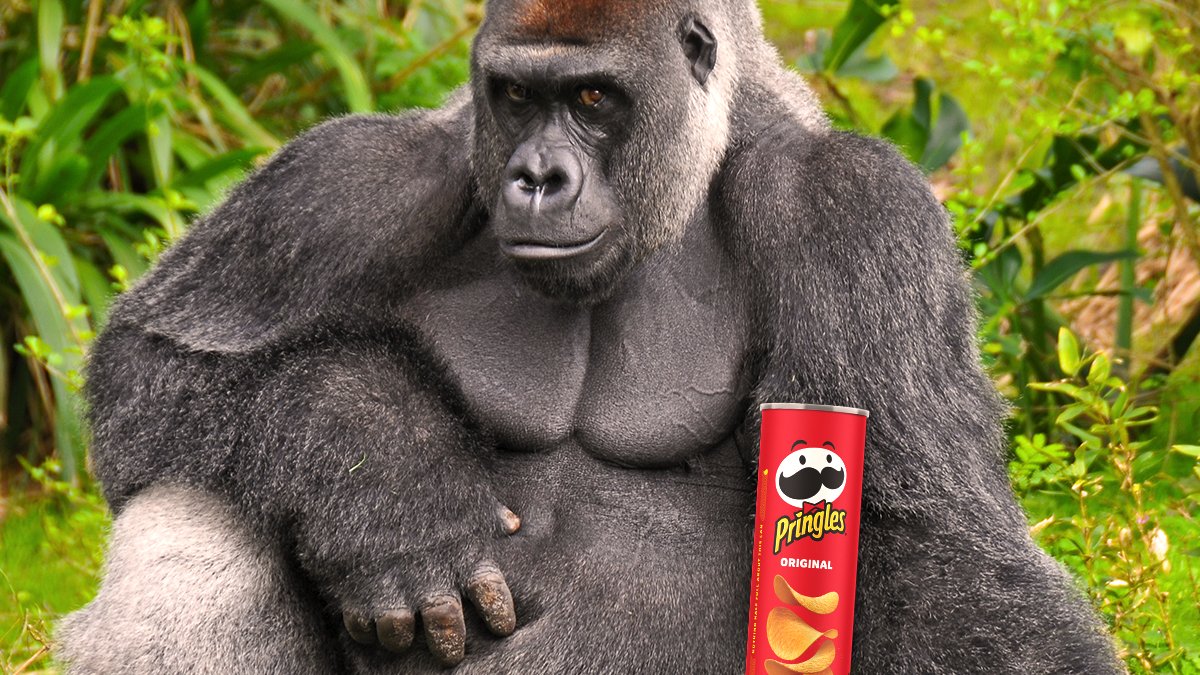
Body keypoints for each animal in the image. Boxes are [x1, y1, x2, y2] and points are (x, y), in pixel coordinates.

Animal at [58, 0, 1123, 673]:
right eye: (516, 96)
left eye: (594, 97)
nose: (535, 178)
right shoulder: (366, 173)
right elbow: (155, 363)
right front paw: (382, 472)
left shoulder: (857, 211)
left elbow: (943, 553)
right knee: (196, 494)